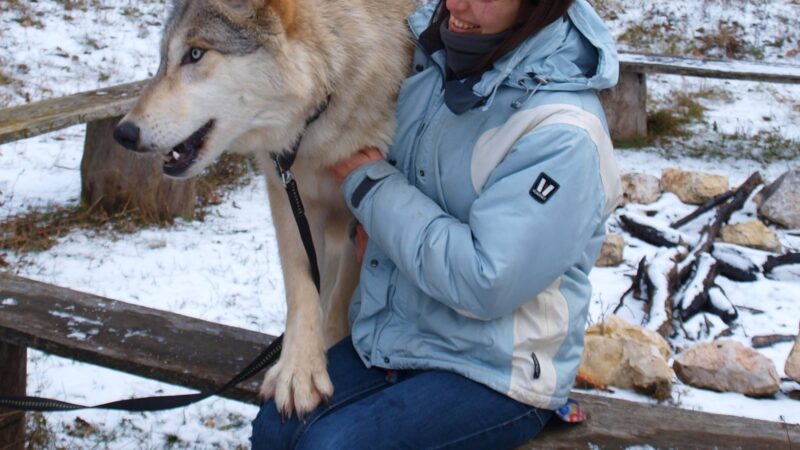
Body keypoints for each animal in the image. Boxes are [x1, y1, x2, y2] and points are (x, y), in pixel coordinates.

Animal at [115, 0, 416, 418]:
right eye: (162, 60)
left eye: (195, 54)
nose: (122, 133)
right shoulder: (286, 192)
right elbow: (302, 286)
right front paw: (298, 370)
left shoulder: (366, 203)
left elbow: (342, 293)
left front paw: (325, 352)